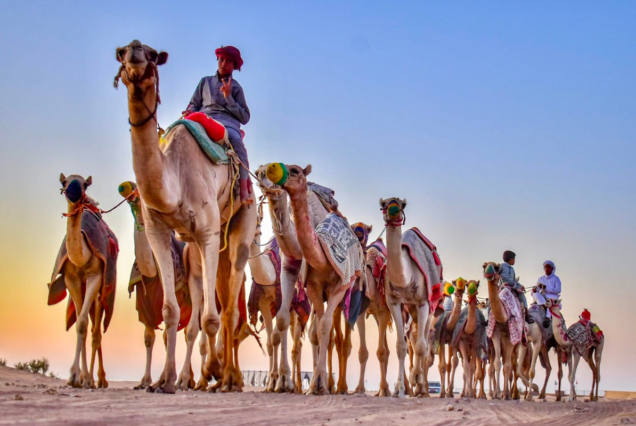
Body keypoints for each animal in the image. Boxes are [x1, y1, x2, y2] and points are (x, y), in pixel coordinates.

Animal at [47, 174, 117, 390]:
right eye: (64, 182)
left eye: (85, 184)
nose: (74, 191)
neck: (81, 258)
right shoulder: (72, 279)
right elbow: (79, 324)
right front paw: (75, 377)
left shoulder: (95, 276)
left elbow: (84, 325)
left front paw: (83, 377)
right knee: (91, 326)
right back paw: (94, 379)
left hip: (103, 291)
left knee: (97, 330)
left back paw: (99, 380)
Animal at [114, 40, 256, 392]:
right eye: (120, 52)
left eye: (152, 54)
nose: (134, 51)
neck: (173, 178)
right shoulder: (159, 232)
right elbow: (169, 312)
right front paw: (163, 381)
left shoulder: (206, 232)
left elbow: (209, 317)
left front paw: (211, 371)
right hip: (202, 244)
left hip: (240, 223)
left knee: (231, 304)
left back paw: (227, 378)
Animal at [264, 164, 362, 396]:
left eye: (295, 170)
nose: (266, 171)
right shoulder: (305, 281)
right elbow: (289, 322)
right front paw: (287, 382)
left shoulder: (338, 286)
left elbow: (324, 327)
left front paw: (319, 383)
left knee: (331, 333)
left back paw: (332, 384)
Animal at [378, 198, 442, 398]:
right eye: (383, 204)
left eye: (402, 204)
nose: (393, 210)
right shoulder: (394, 301)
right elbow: (401, 346)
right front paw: (398, 389)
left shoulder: (423, 302)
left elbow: (422, 346)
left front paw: (417, 382)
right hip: (411, 309)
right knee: (414, 339)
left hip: (430, 308)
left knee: (425, 344)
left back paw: (420, 385)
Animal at [482, 262, 520, 400]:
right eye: (484, 266)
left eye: (496, 267)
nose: (488, 273)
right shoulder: (495, 334)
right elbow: (497, 364)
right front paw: (497, 393)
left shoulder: (511, 337)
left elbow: (507, 367)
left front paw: (503, 394)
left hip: (517, 346)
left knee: (512, 366)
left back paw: (510, 394)